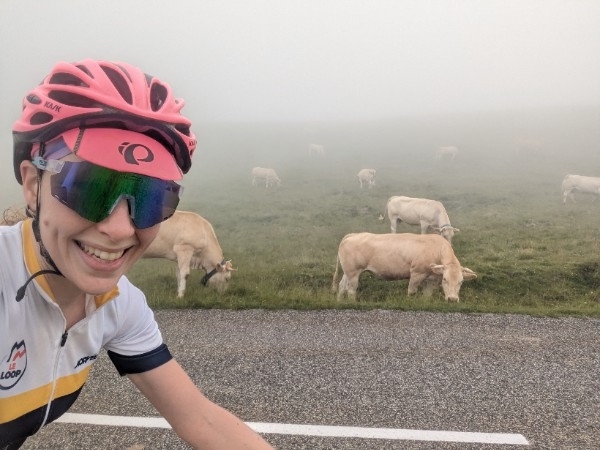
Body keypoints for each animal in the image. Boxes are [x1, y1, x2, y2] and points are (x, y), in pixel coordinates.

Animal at [330, 232, 476, 302]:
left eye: (461, 282)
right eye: (445, 279)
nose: (452, 299)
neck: (436, 249)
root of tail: (353, 235)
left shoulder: (432, 278)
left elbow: (427, 294)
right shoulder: (417, 273)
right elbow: (411, 291)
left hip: (348, 272)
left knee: (342, 286)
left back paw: (340, 302)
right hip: (353, 272)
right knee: (351, 290)